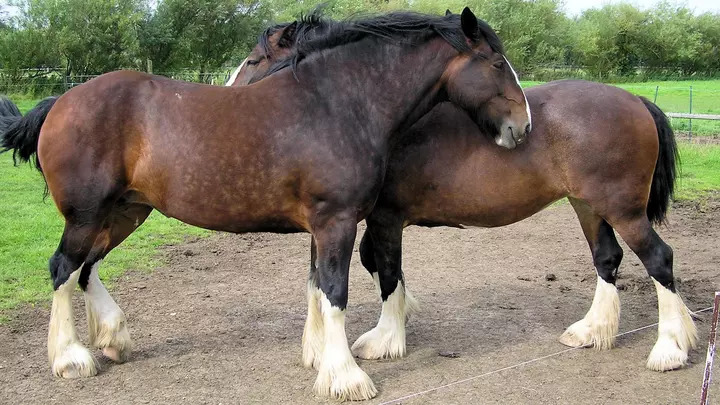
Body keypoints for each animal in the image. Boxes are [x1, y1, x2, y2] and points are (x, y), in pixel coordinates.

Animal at [0, 9, 528, 400]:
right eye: (496, 63)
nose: (521, 127)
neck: (339, 103)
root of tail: (60, 102)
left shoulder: (323, 227)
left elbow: (316, 288)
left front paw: (318, 358)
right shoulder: (336, 222)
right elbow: (335, 293)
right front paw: (345, 377)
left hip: (124, 211)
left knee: (86, 268)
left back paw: (112, 339)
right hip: (88, 214)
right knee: (63, 268)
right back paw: (70, 358)